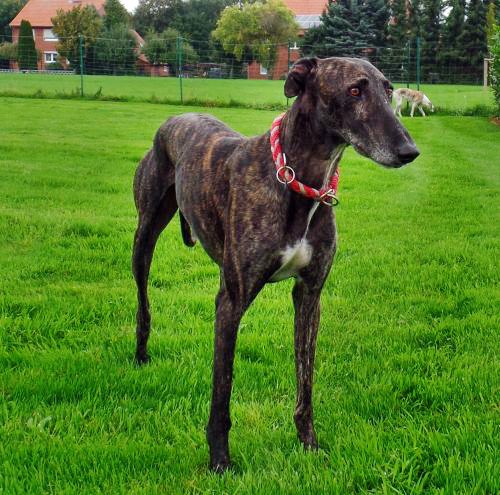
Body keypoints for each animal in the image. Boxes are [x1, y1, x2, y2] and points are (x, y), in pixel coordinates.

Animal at [132, 57, 419, 472]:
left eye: (388, 89)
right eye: (354, 90)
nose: (409, 151)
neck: (298, 182)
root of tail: (177, 116)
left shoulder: (310, 296)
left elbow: (306, 380)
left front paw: (309, 445)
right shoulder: (231, 301)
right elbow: (222, 388)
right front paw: (220, 461)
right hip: (145, 236)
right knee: (143, 301)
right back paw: (140, 355)